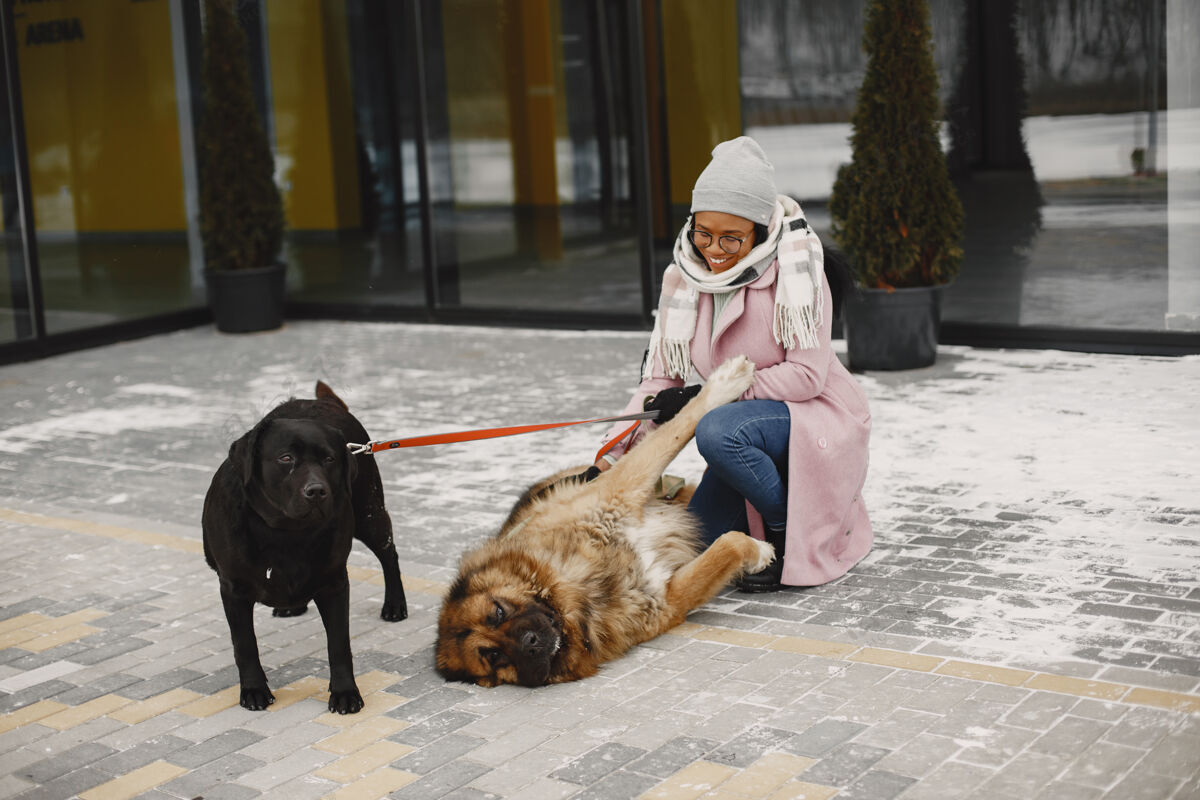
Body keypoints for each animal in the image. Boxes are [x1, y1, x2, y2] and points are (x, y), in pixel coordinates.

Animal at [201, 381, 408, 714]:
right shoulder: (233, 589)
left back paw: (394, 604)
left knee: (390, 555)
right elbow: (245, 645)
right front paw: (254, 690)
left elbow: (338, 645)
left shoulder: (335, 582)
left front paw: (345, 692)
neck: (286, 533)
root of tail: (325, 402)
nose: (317, 491)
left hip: (370, 512)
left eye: (329, 459)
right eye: (285, 458)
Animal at [436, 357, 772, 690]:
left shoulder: (619, 486)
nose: (530, 643)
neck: (583, 590)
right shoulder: (666, 601)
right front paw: (759, 551)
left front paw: (726, 381)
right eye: (494, 656)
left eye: (498, 611)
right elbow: (728, 546)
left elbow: (678, 427)